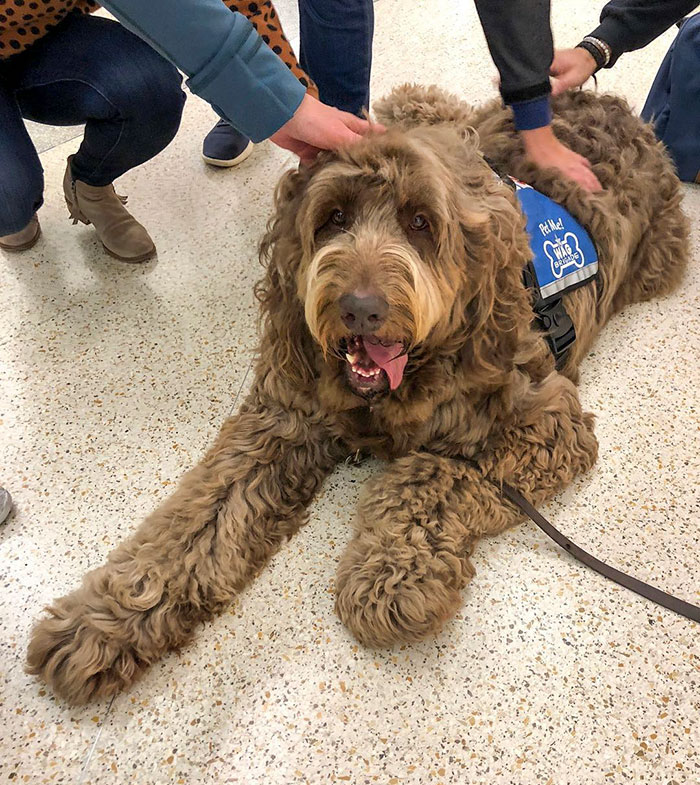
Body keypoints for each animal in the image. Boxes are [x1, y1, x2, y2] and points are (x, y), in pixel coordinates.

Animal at [27, 86, 688, 704]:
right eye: (334, 217)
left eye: (421, 222)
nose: (360, 308)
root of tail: (610, 103)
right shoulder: (284, 419)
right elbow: (197, 519)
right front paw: (107, 619)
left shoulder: (547, 425)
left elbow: (430, 473)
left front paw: (392, 573)